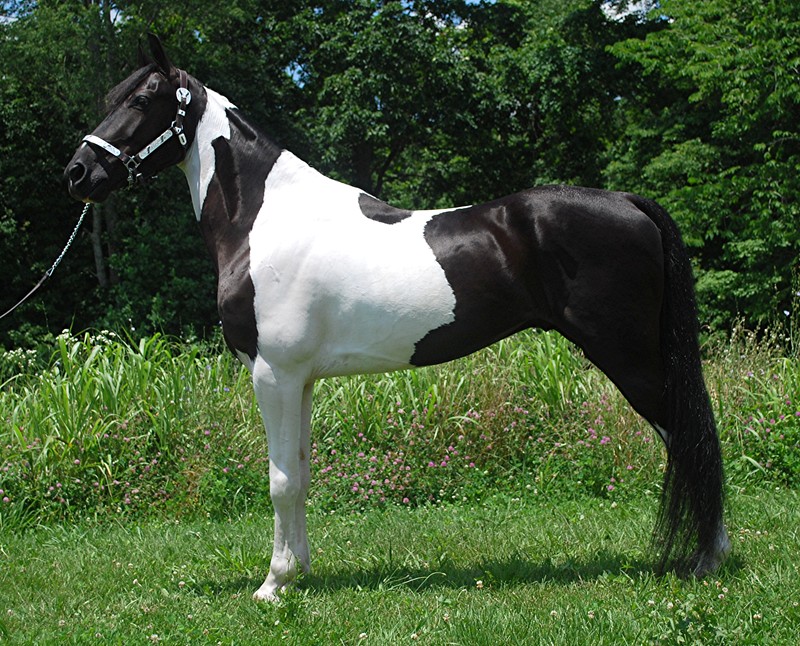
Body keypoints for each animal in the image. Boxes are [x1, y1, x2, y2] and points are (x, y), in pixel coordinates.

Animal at [65, 35, 730, 601]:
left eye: (142, 100)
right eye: (111, 99)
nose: (78, 173)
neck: (266, 218)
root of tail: (629, 202)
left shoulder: (272, 374)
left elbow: (280, 480)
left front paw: (273, 585)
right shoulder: (299, 380)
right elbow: (300, 472)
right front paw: (300, 572)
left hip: (629, 356)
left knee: (690, 437)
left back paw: (709, 559)